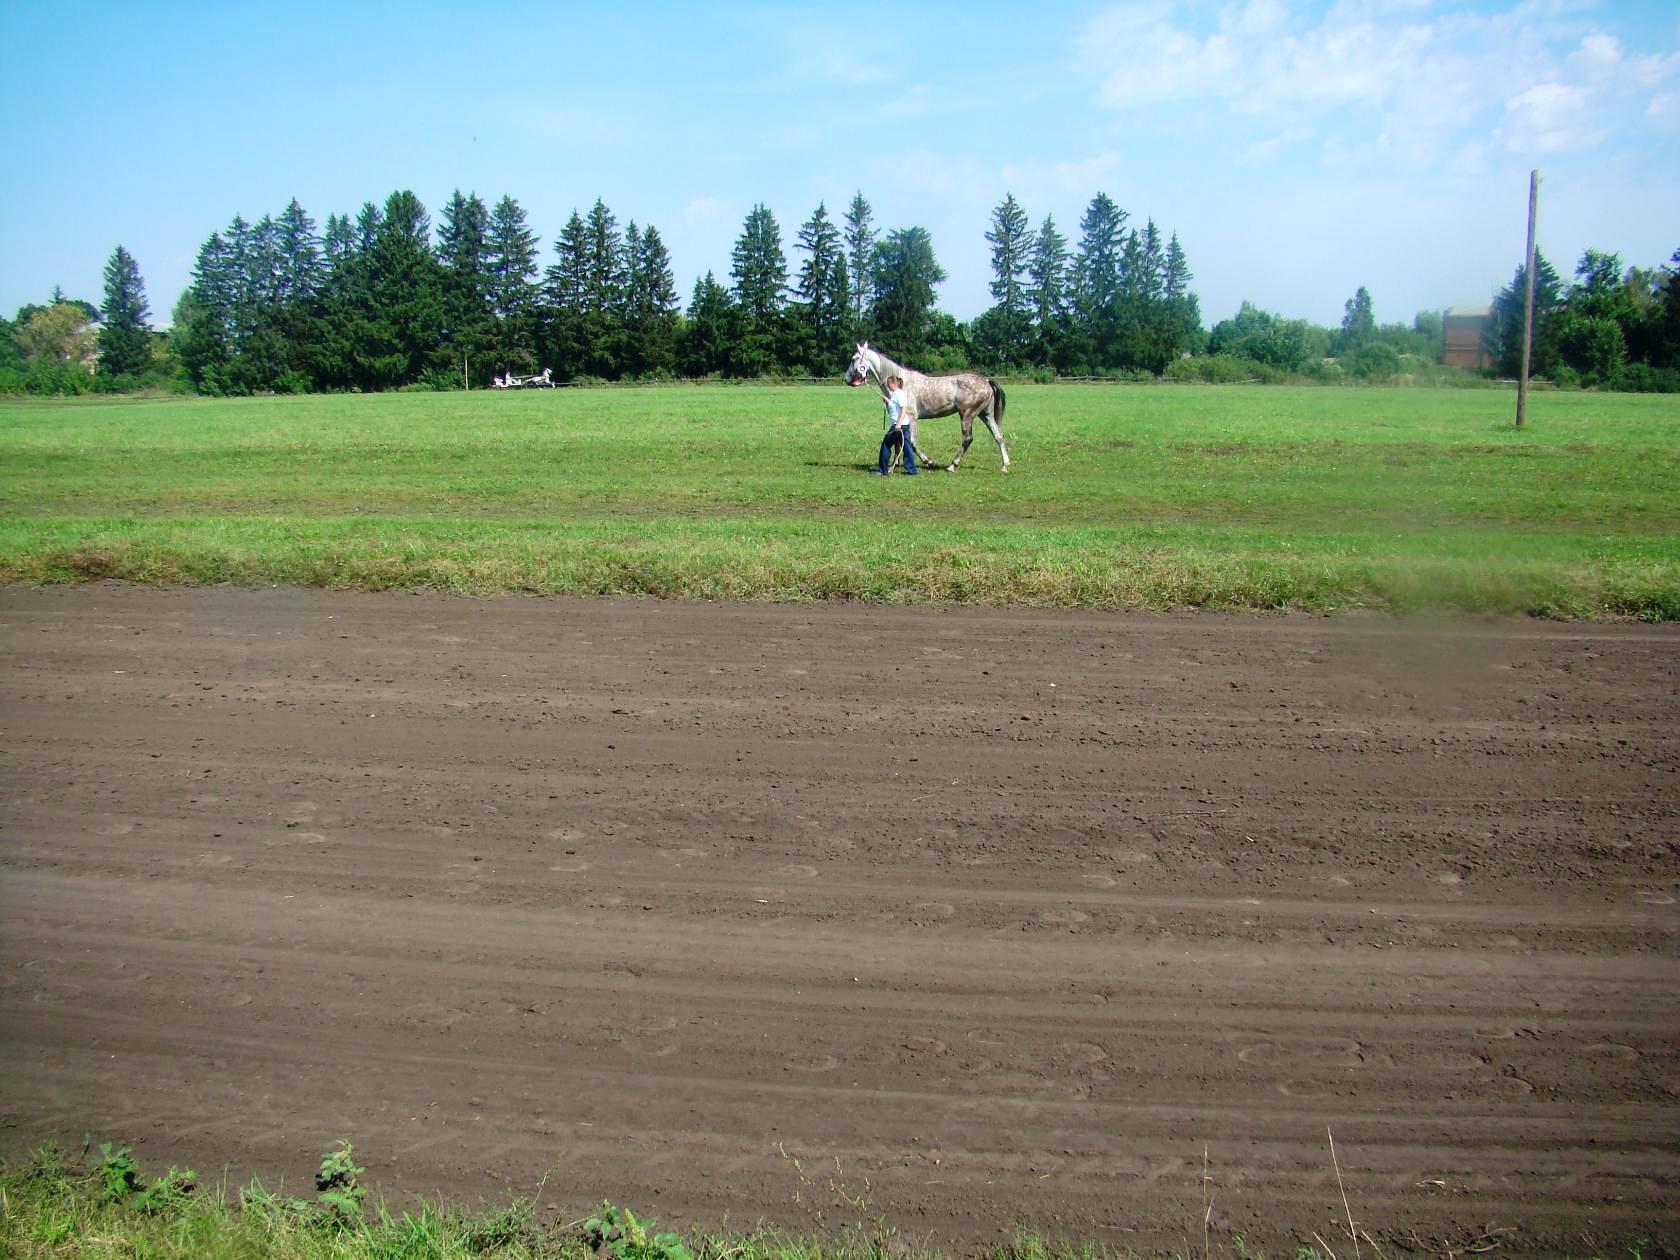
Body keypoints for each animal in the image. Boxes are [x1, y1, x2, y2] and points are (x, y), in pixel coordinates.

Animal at [840, 342, 1007, 470]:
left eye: (854, 358)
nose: (847, 378)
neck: (902, 384)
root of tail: (987, 381)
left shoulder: (912, 418)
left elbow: (912, 443)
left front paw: (928, 462)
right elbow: (898, 440)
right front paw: (895, 463)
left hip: (967, 416)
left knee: (967, 439)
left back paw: (952, 466)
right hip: (986, 415)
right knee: (998, 436)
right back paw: (1005, 466)